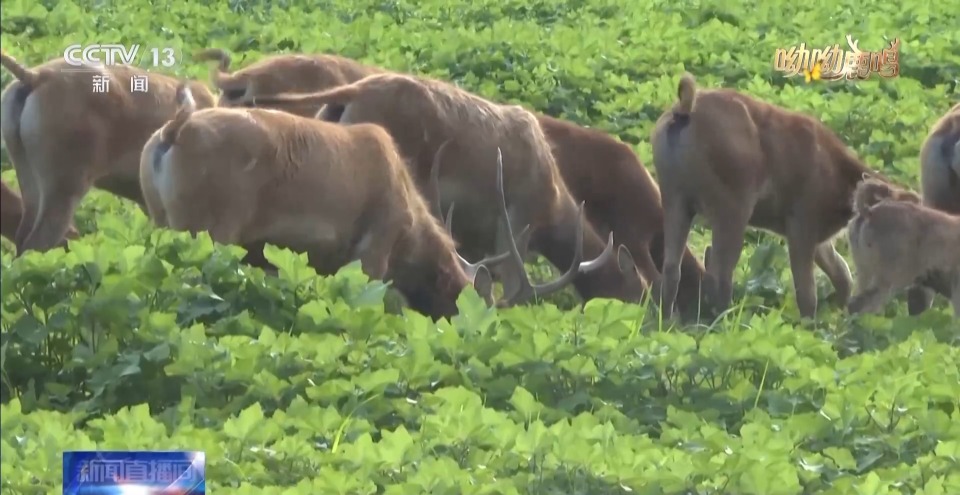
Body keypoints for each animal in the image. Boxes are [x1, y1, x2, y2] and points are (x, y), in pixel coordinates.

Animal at [650, 71, 890, 320]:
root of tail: (686, 108)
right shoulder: (801, 228)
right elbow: (807, 288)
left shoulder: (816, 238)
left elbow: (840, 272)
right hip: (733, 213)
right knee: (719, 272)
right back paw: (725, 319)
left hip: (676, 202)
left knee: (672, 269)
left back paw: (668, 319)